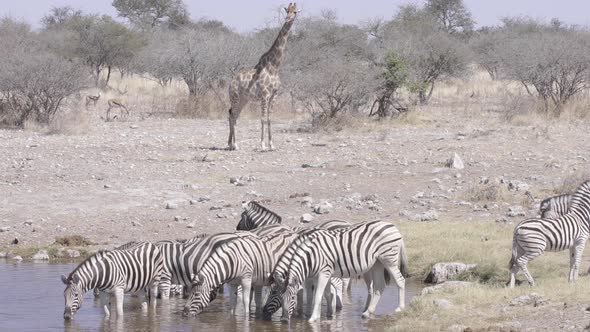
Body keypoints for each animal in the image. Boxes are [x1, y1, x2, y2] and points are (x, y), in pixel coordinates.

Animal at [227, 2, 300, 150]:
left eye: (295, 12)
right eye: (287, 10)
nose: (287, 19)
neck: (274, 67)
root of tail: (231, 81)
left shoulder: (274, 95)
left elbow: (269, 118)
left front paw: (271, 144)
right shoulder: (265, 95)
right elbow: (262, 119)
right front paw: (262, 145)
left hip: (244, 99)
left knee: (234, 115)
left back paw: (231, 144)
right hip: (235, 96)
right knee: (232, 116)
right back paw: (235, 145)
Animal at [264, 219, 410, 322]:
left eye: (293, 297)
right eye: (278, 295)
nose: (283, 320)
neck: (310, 255)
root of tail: (393, 226)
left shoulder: (323, 272)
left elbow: (318, 295)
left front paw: (312, 318)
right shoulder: (322, 274)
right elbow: (327, 294)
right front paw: (327, 315)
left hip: (389, 259)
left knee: (400, 280)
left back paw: (399, 308)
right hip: (377, 263)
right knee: (379, 286)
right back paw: (368, 312)